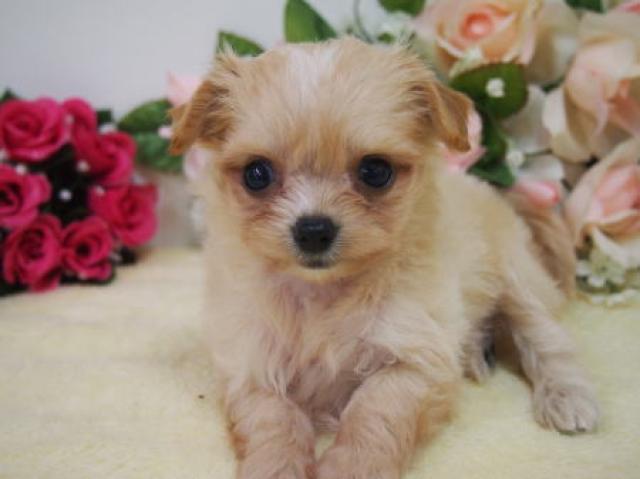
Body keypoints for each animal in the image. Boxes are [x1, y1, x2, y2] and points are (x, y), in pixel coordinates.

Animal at [170, 37, 599, 479]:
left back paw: (566, 397)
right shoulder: (250, 363)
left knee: (546, 338)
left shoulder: (414, 360)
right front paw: (275, 468)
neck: (322, 294)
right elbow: (271, 423)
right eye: (257, 174)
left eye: (375, 170)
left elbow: (373, 415)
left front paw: (349, 469)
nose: (313, 230)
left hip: (517, 276)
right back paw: (478, 353)